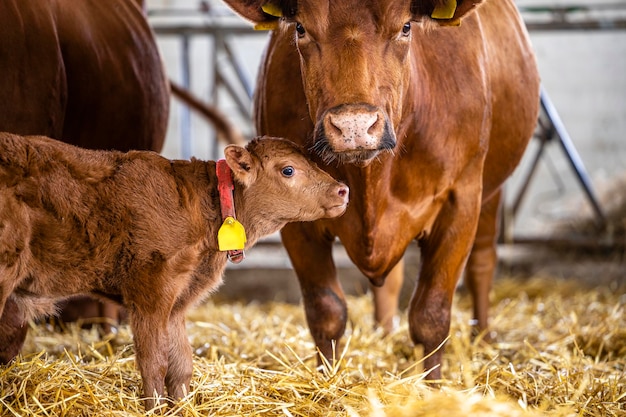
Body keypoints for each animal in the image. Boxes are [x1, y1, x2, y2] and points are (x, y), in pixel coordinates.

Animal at [0, 133, 348, 410]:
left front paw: (181, 407)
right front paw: (153, 408)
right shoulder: (152, 291)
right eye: (288, 169)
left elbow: (181, 364)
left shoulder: (179, 298)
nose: (343, 190)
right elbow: (154, 361)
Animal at [222, 0, 540, 376]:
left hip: (491, 190)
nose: (354, 125)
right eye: (300, 28)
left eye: (405, 27)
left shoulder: (460, 199)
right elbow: (326, 312)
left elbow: (431, 315)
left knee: (483, 260)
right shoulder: (297, 222)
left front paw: (432, 384)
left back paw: (485, 339)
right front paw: (326, 381)